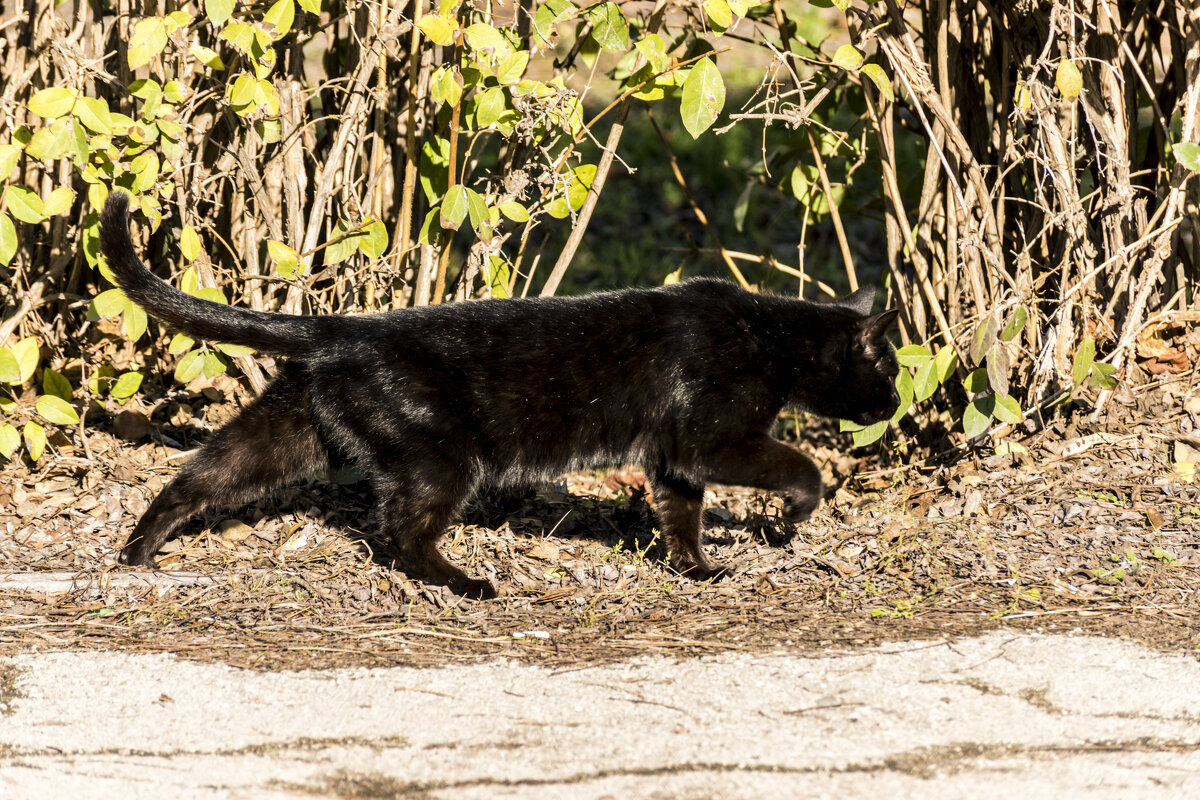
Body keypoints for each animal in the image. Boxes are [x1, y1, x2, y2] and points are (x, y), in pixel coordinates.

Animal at [98, 190, 897, 597]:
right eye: (887, 368)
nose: (893, 404)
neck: (770, 336)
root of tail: (343, 326)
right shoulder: (713, 438)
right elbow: (799, 465)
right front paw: (794, 516)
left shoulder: (674, 455)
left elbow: (681, 515)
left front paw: (696, 570)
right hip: (442, 456)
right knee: (401, 531)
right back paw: (468, 583)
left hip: (292, 431)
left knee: (202, 474)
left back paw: (137, 553)